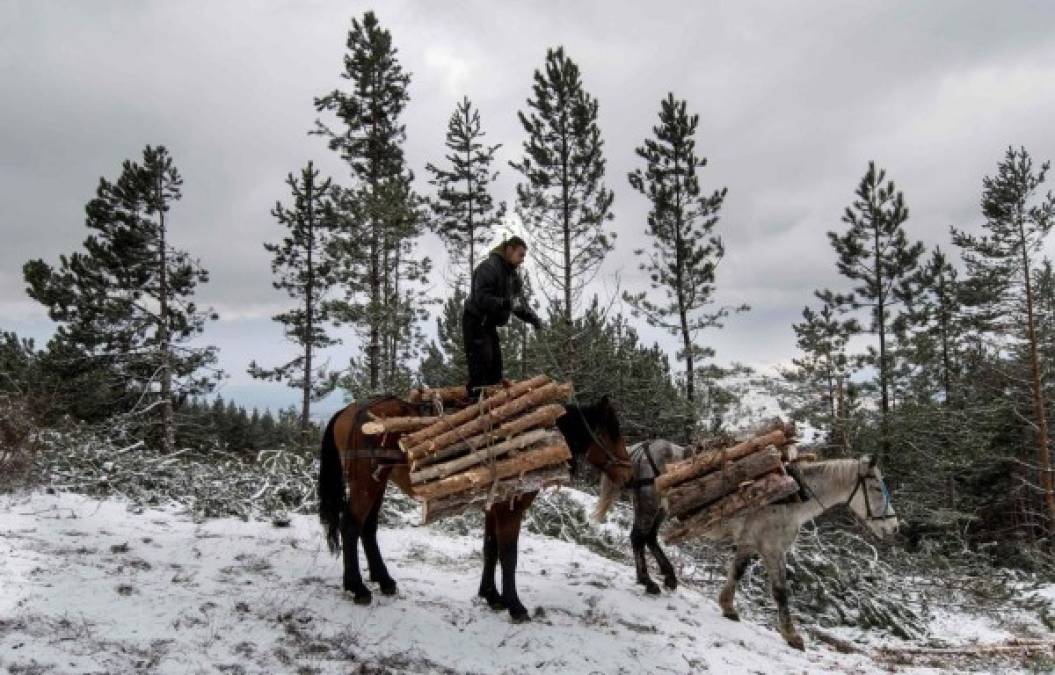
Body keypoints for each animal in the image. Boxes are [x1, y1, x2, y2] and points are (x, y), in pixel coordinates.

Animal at [312, 396, 624, 624]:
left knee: (368, 528)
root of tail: (349, 410)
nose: (628, 472)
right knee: (350, 526)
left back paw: (384, 580)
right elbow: (508, 555)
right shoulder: (510, 508)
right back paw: (357, 588)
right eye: (613, 433)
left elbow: (490, 549)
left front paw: (491, 596)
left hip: (378, 482)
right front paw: (515, 605)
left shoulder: (494, 508)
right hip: (366, 483)